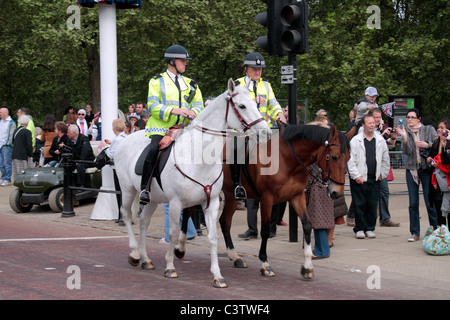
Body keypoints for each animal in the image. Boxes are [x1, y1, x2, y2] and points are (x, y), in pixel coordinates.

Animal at [114, 79, 268, 288]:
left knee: (144, 222)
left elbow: (213, 237)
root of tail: (125, 139)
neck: (199, 158)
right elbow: (173, 233)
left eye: (256, 104)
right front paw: (170, 267)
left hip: (153, 197)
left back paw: (146, 259)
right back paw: (135, 254)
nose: (266, 132)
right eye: (242, 106)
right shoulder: (176, 203)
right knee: (127, 215)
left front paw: (217, 276)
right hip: (128, 190)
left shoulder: (211, 202)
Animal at [218, 124, 352, 278]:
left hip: (231, 196)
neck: (285, 158)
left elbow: (307, 225)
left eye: (348, 158)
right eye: (334, 157)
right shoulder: (267, 198)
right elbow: (265, 230)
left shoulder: (297, 196)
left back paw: (235, 257)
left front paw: (307, 266)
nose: (337, 192)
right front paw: (265, 263)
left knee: (225, 222)